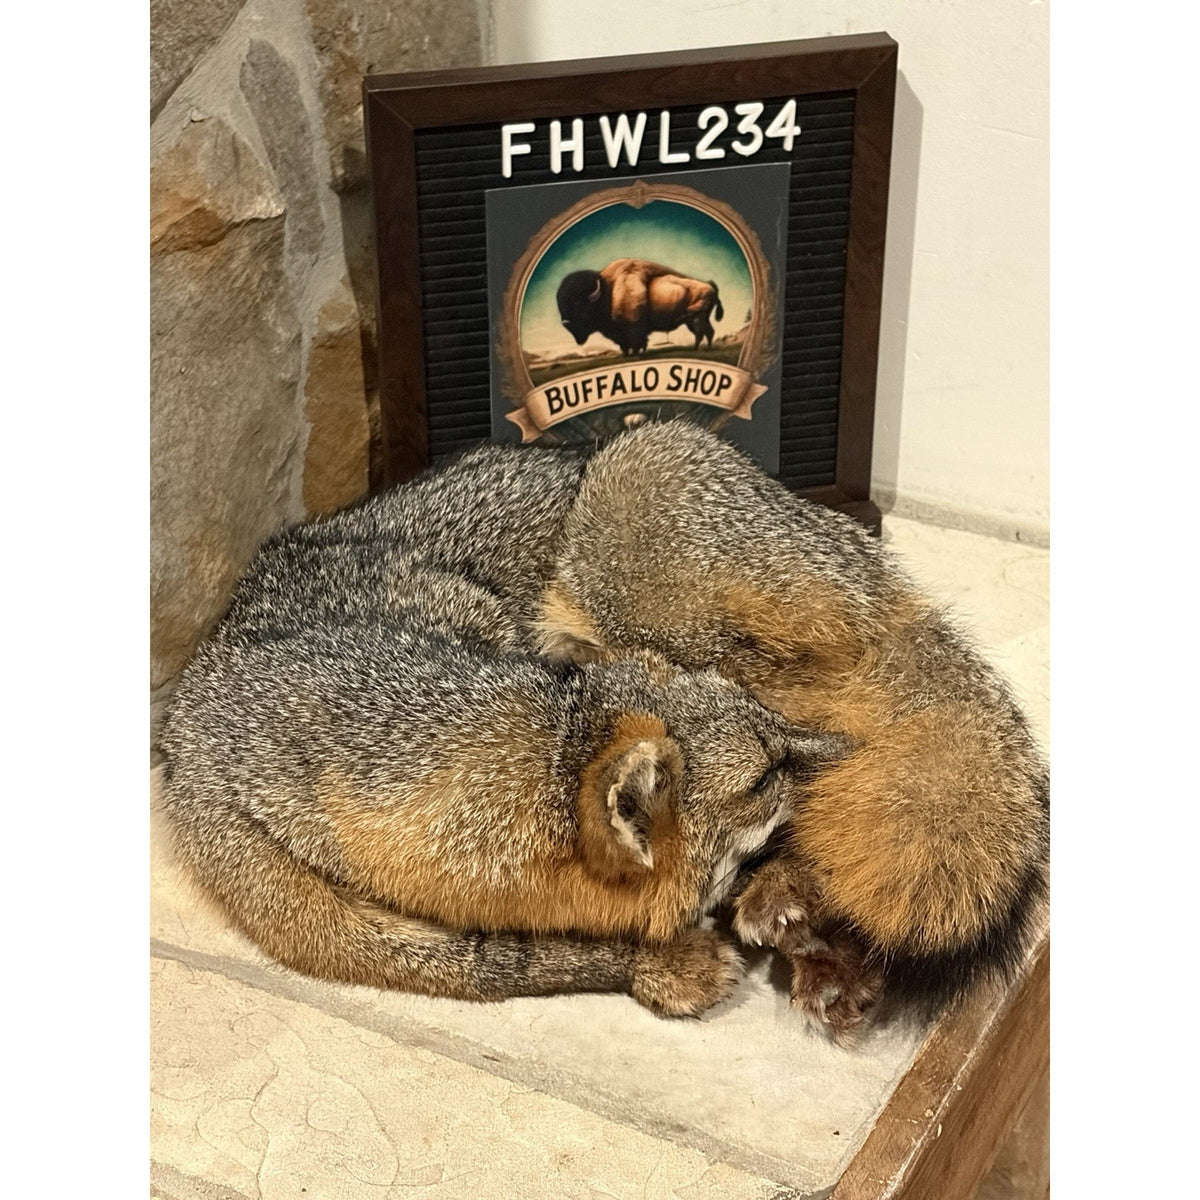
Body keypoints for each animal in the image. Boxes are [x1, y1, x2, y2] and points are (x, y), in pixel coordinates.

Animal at [159, 448, 849, 1017]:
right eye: (763, 776)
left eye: (766, 732)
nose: (849, 749)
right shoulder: (322, 924)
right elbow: (507, 962)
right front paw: (660, 964)